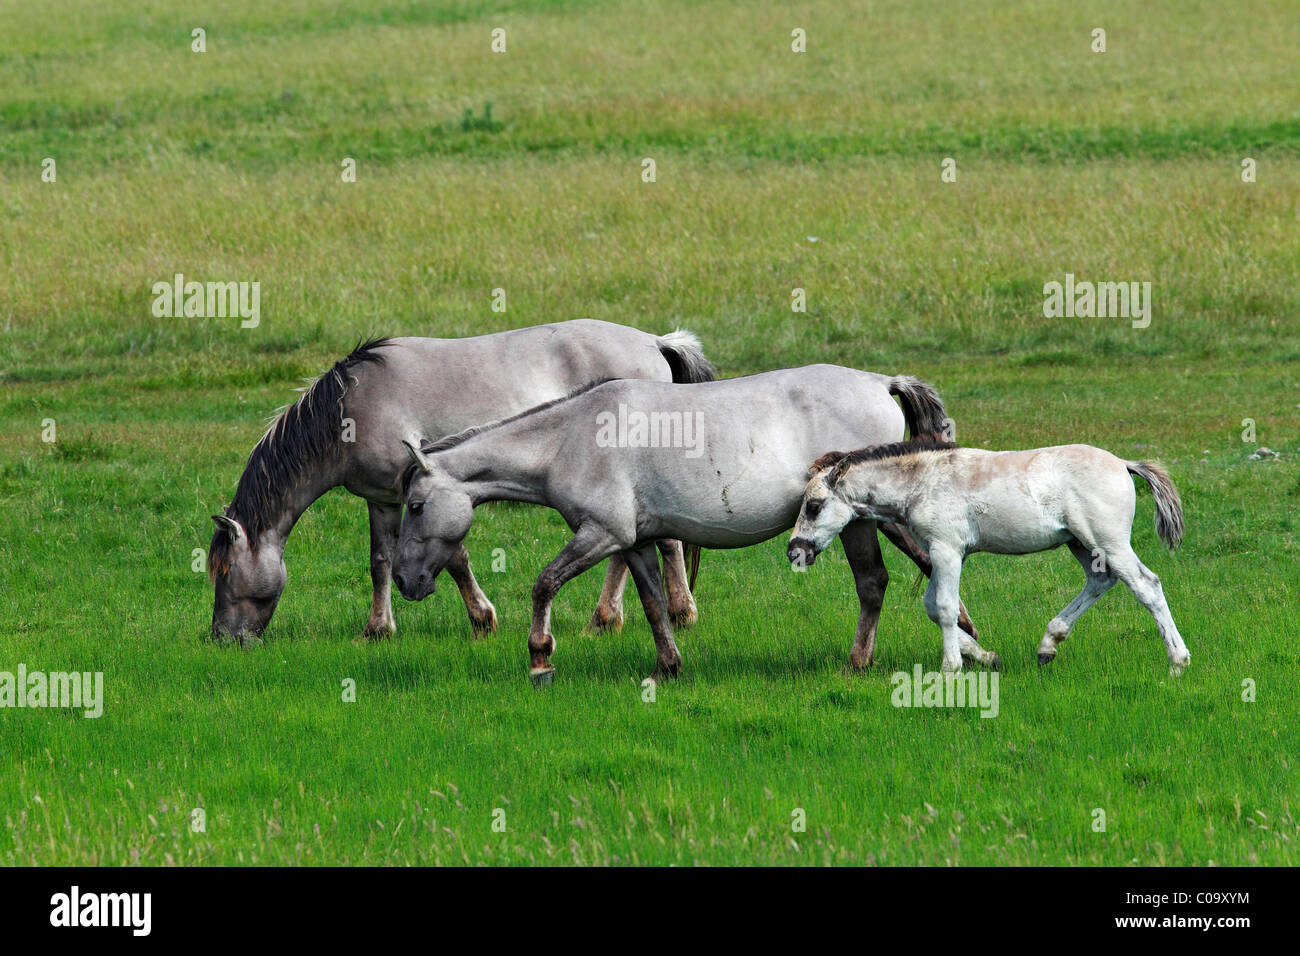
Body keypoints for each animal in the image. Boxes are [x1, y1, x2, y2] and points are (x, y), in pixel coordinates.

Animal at [209, 319, 717, 642]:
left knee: (661, 544)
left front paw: (482, 620)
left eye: (225, 572)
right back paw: (615, 618)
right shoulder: (382, 498)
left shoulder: (427, 491)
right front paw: (377, 630)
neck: (349, 410)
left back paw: (668, 613)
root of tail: (655, 342)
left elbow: (454, 558)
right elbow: (380, 561)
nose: (221, 638)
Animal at [390, 364, 977, 681]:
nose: (404, 580)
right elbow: (653, 603)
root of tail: (881, 381)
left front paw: (540, 657)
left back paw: (861, 662)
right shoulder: (633, 542)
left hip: (857, 522)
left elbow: (544, 584)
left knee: (875, 583)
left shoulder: (600, 535)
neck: (569, 439)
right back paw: (969, 641)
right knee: (922, 569)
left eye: (415, 506)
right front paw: (668, 666)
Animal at [780, 437, 1190, 676]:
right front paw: (984, 656)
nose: (795, 551)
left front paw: (951, 667)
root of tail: (1123, 463)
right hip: (1081, 544)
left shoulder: (947, 549)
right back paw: (1048, 645)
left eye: (814, 506)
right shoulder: (943, 553)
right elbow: (933, 607)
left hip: (1109, 542)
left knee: (1146, 585)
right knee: (1100, 580)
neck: (923, 481)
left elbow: (945, 607)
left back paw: (1178, 662)